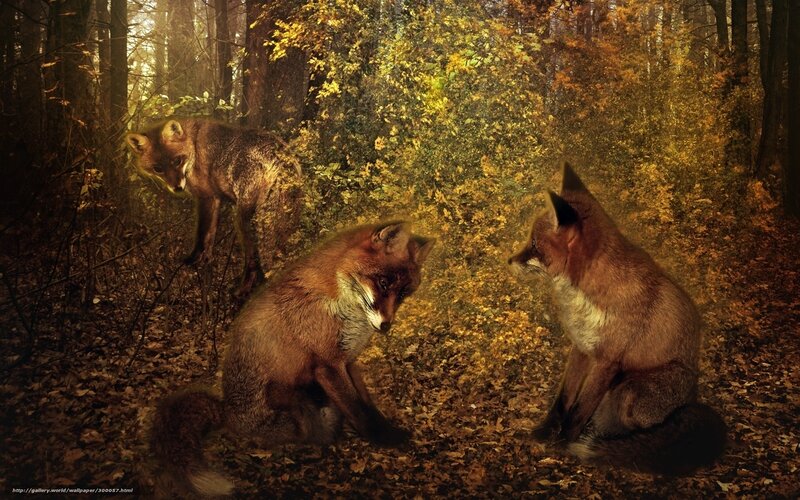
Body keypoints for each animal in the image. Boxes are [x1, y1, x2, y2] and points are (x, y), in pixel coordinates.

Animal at [125, 117, 303, 296]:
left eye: (177, 161)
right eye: (158, 168)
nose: (177, 188)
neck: (193, 146)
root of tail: (281, 157)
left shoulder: (206, 197)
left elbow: (201, 234)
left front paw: (192, 260)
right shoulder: (216, 199)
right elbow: (211, 235)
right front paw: (206, 261)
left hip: (243, 219)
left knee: (252, 258)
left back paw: (242, 291)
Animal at [151, 221, 435, 496]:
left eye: (403, 294)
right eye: (383, 283)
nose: (386, 326)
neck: (339, 301)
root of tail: (227, 413)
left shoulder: (349, 360)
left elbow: (367, 404)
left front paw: (386, 430)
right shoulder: (328, 364)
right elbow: (357, 409)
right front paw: (382, 439)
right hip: (288, 397)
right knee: (309, 429)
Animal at [508, 163, 725, 475]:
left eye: (535, 244)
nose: (509, 261)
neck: (587, 299)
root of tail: (692, 398)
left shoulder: (607, 361)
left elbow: (579, 409)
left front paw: (563, 445)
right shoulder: (581, 348)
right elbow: (563, 399)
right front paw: (545, 432)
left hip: (630, 391)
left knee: (643, 432)